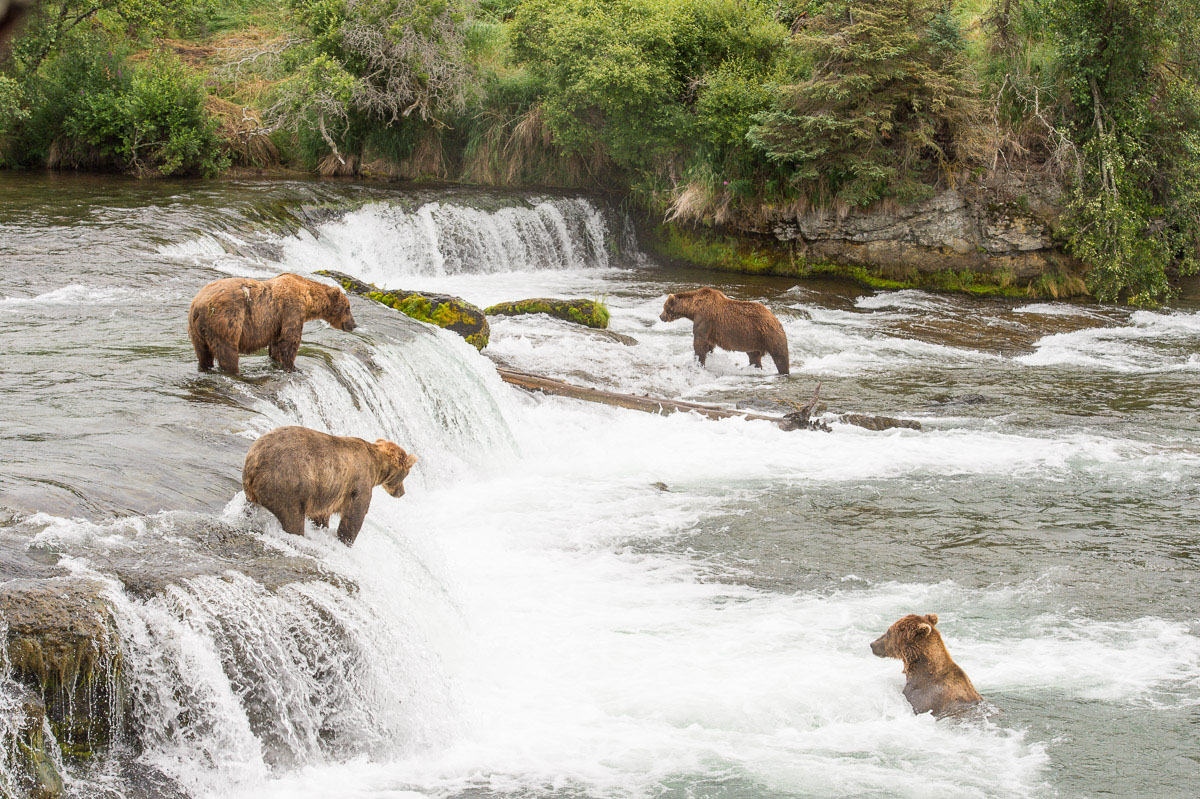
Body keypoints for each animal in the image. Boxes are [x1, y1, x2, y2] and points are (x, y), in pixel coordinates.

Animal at [187, 272, 355, 374]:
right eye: (347, 308)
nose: (353, 324)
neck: (308, 298)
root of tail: (198, 305)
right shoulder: (291, 308)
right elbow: (290, 339)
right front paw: (293, 367)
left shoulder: (276, 322)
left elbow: (276, 344)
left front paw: (277, 360)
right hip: (225, 321)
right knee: (227, 351)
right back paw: (234, 371)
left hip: (196, 332)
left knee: (203, 353)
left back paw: (205, 367)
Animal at [241, 422, 420, 547]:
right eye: (406, 475)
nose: (401, 492)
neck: (377, 466)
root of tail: (254, 463)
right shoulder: (359, 483)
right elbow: (355, 515)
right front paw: (346, 540)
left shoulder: (326, 493)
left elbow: (321, 515)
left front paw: (323, 527)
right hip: (288, 486)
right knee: (293, 518)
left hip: (253, 491)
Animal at [657, 286, 787, 374]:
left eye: (664, 307)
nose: (661, 316)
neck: (693, 309)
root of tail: (775, 318)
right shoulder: (710, 329)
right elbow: (709, 345)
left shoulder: (704, 319)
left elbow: (699, 343)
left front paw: (698, 363)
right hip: (754, 341)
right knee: (754, 357)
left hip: (769, 335)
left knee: (781, 357)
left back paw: (783, 372)